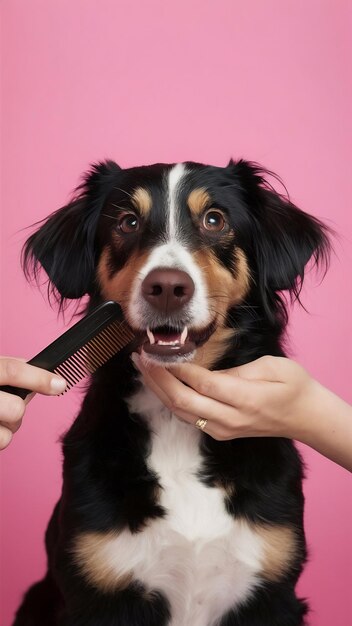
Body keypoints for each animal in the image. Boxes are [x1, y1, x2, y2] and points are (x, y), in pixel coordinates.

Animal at [11, 158, 330, 620]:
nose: (166, 288)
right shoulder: (98, 590)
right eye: (128, 222)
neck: (177, 426)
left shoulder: (272, 591)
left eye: (215, 220)